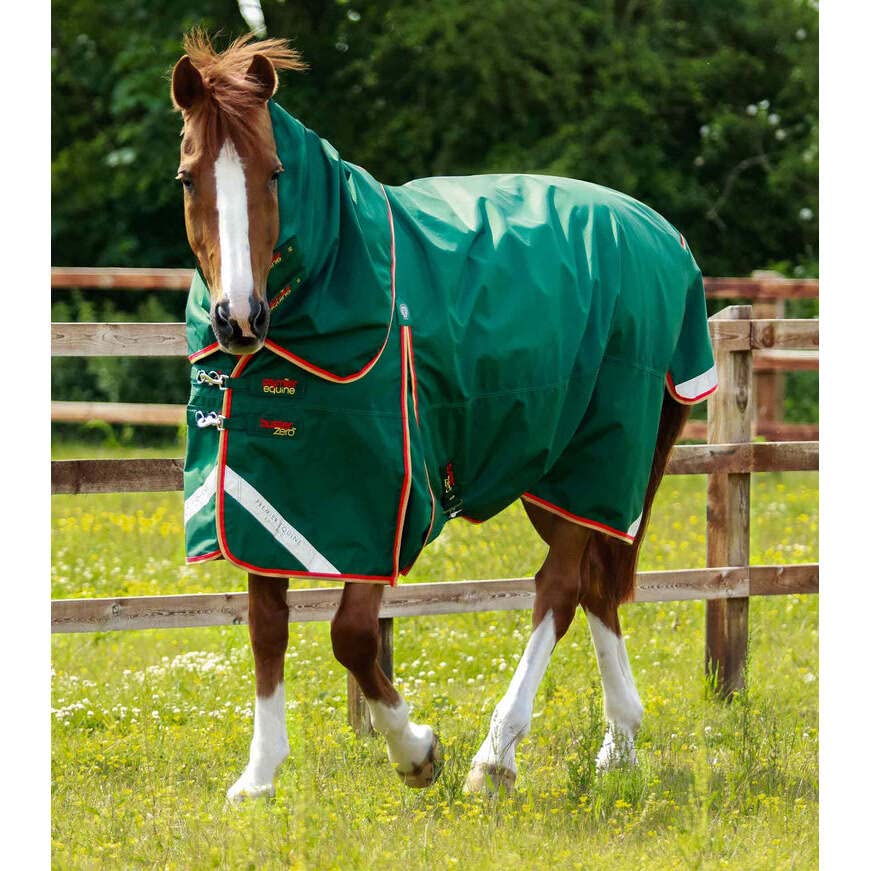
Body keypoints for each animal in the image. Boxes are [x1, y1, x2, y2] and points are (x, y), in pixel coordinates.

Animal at [170, 32, 717, 801]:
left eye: (275, 173)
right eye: (189, 178)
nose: (239, 317)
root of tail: (659, 233)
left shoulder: (382, 503)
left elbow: (352, 636)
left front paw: (416, 750)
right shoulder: (263, 492)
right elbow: (266, 625)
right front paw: (259, 775)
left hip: (601, 453)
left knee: (558, 588)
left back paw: (496, 757)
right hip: (550, 466)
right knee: (594, 586)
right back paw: (619, 746)